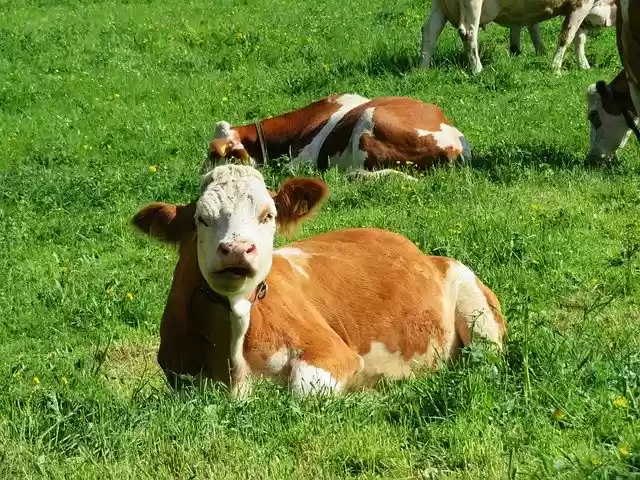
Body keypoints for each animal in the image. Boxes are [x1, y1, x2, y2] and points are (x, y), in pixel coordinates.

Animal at [131, 164, 506, 397]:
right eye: (202, 219)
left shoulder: (333, 353)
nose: (237, 249)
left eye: (269, 215)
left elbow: (302, 391)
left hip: (476, 309)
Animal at [420, 0, 608, 74]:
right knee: (468, 32)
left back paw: (423, 68)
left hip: (440, 6)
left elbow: (579, 38)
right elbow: (567, 36)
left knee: (430, 30)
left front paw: (584, 65)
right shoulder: (581, 4)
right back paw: (478, 70)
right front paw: (556, 68)